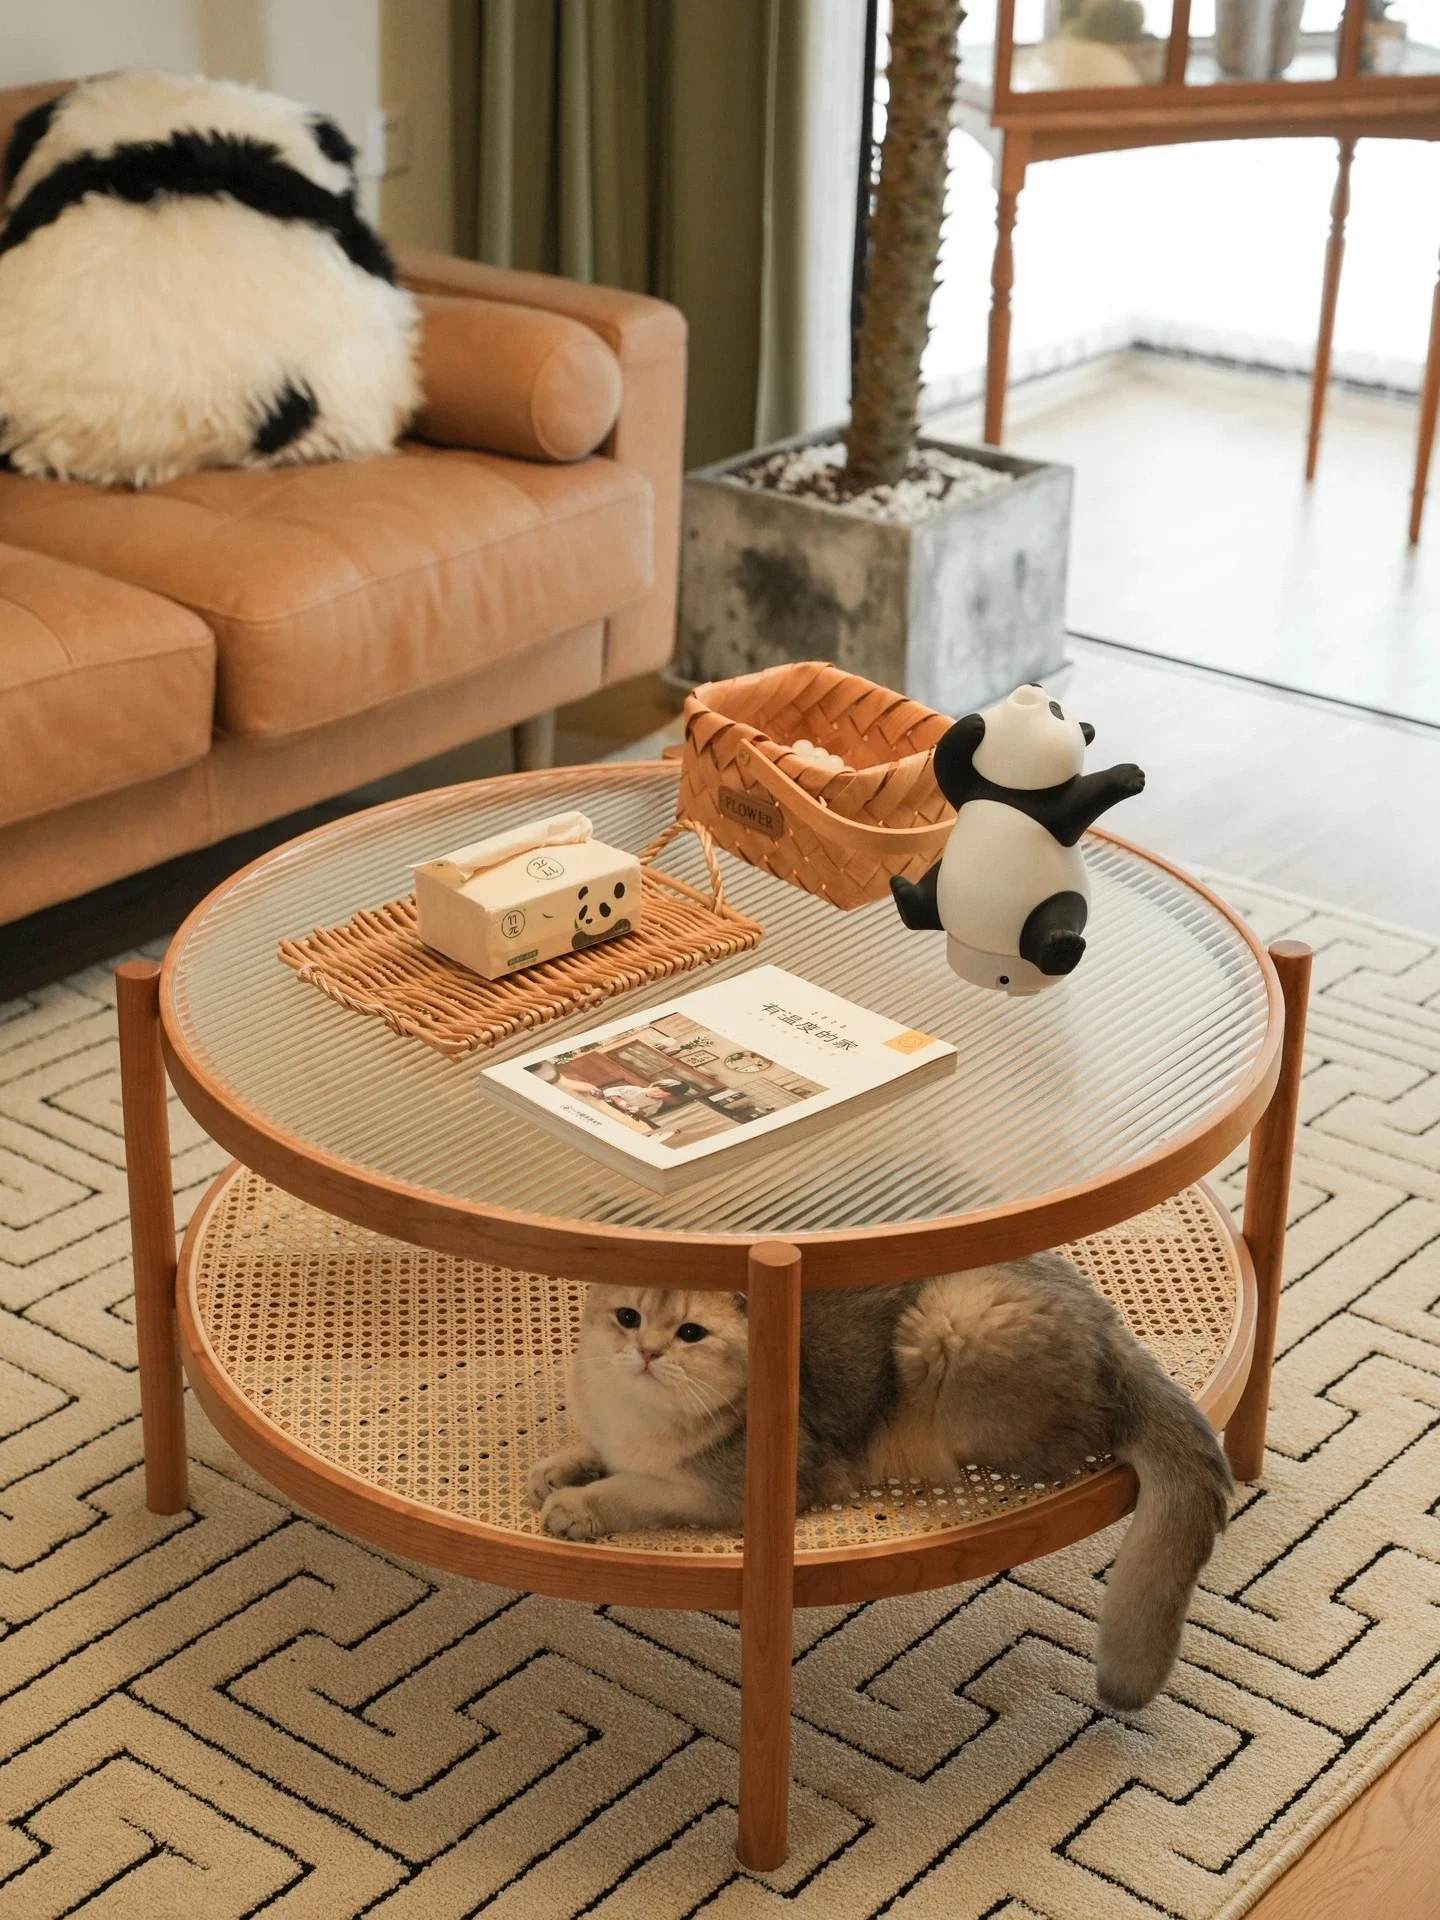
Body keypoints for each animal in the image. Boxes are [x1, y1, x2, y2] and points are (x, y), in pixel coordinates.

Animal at [529, 1259, 1228, 1712]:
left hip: (948, 1326)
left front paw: (578, 1504)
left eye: (690, 1333)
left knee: (1083, 1437)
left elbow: (638, 1487)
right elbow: (592, 1450)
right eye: (627, 1317)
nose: (647, 1352)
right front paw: (557, 1467)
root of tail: (1109, 1320)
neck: (634, 1413)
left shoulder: (739, 1489)